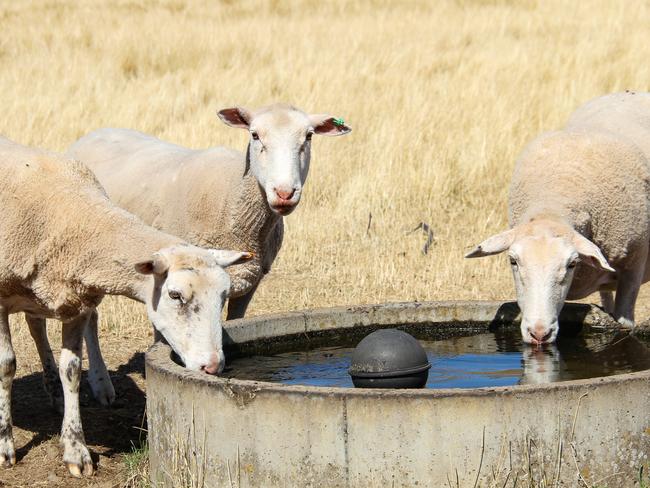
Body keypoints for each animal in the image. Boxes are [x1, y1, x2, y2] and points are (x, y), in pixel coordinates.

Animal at [0, 136, 249, 476]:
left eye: (224, 295)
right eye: (174, 295)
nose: (212, 366)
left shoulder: (74, 302)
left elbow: (72, 371)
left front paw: (76, 450)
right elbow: (6, 366)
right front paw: (5, 446)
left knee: (36, 325)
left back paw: (54, 389)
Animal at [464, 91, 648, 344]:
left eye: (571, 264)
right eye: (513, 261)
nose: (539, 333)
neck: (552, 205)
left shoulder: (634, 268)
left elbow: (625, 322)